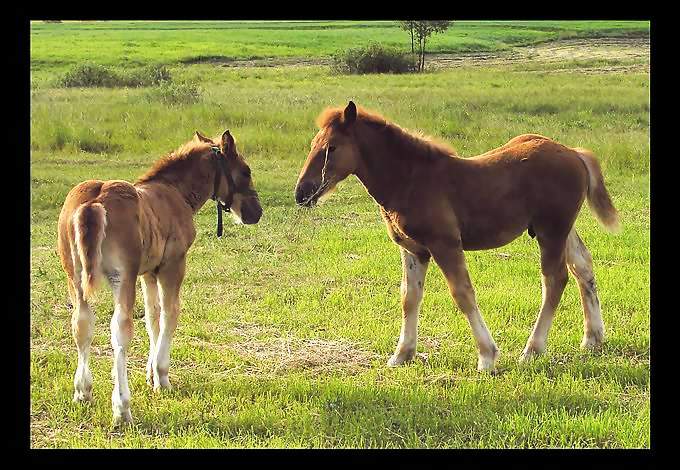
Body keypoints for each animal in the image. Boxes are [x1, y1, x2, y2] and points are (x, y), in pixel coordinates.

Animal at [57, 130, 262, 424]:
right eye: (245, 171)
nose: (256, 212)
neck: (175, 193)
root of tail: (93, 203)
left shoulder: (148, 272)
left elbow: (152, 318)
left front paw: (150, 374)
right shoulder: (172, 266)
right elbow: (169, 313)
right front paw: (162, 377)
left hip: (74, 277)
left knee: (81, 324)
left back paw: (82, 392)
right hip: (122, 277)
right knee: (120, 329)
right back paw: (122, 408)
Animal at [294, 101, 620, 372]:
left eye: (332, 147)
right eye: (313, 145)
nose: (302, 192)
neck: (410, 180)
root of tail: (575, 153)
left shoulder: (445, 244)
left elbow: (462, 293)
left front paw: (487, 356)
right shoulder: (413, 250)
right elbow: (409, 297)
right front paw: (402, 354)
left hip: (551, 230)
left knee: (555, 280)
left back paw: (533, 349)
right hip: (562, 229)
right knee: (583, 267)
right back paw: (593, 338)